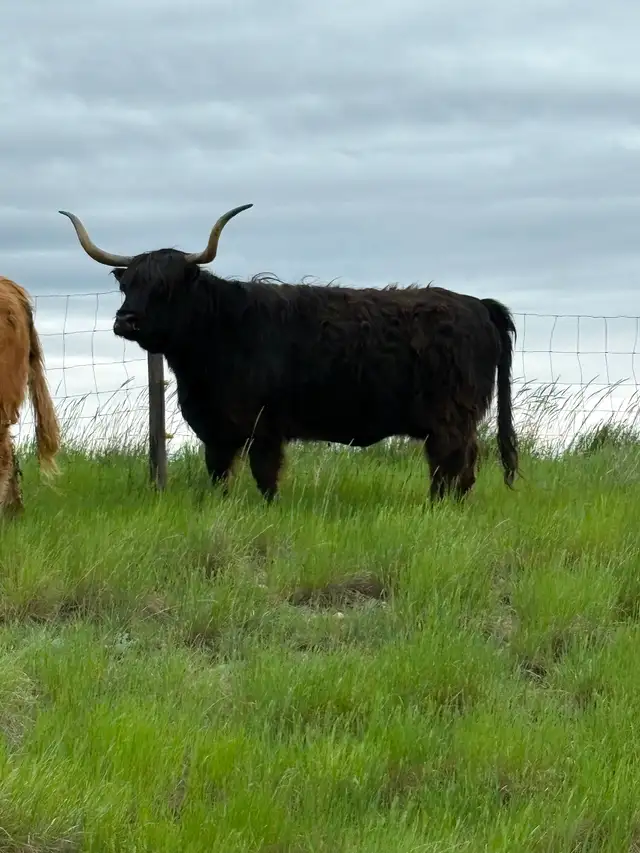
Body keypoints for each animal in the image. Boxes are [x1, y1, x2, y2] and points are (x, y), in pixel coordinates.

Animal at [59, 205, 519, 504]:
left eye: (165, 287)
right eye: (127, 284)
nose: (126, 320)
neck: (218, 335)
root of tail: (476, 303)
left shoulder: (264, 426)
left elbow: (265, 476)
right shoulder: (216, 430)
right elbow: (219, 476)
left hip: (450, 419)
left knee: (451, 466)